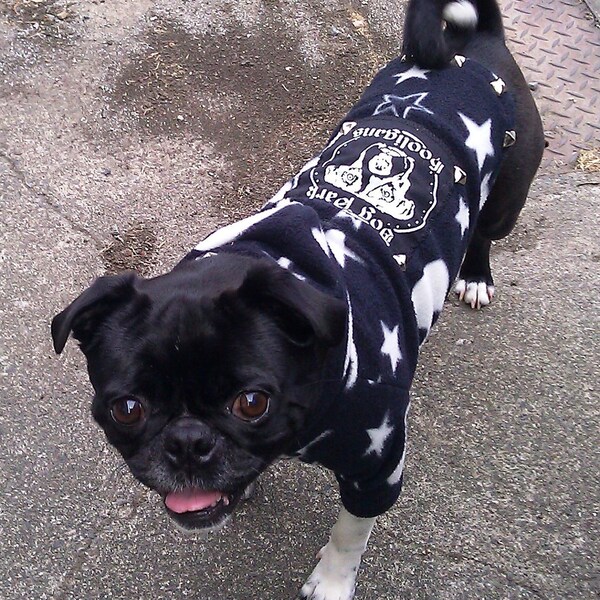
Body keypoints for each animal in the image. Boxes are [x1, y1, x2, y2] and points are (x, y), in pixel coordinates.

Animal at [51, 2, 544, 596]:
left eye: (252, 402)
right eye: (127, 409)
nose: (187, 441)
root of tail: (478, 46)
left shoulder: (376, 465)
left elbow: (351, 532)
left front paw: (332, 581)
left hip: (506, 199)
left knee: (488, 232)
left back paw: (475, 275)